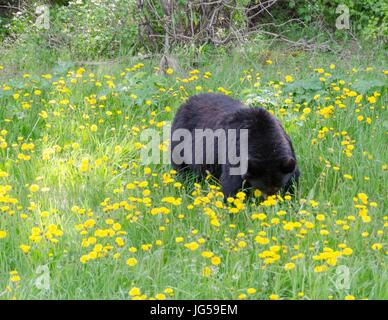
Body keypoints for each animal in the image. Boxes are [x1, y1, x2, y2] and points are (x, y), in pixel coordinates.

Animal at [170, 93, 300, 198]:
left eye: (278, 186)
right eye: (261, 187)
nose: (270, 200)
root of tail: (187, 100)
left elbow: (293, 179)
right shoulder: (235, 152)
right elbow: (231, 183)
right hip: (180, 138)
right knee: (181, 166)